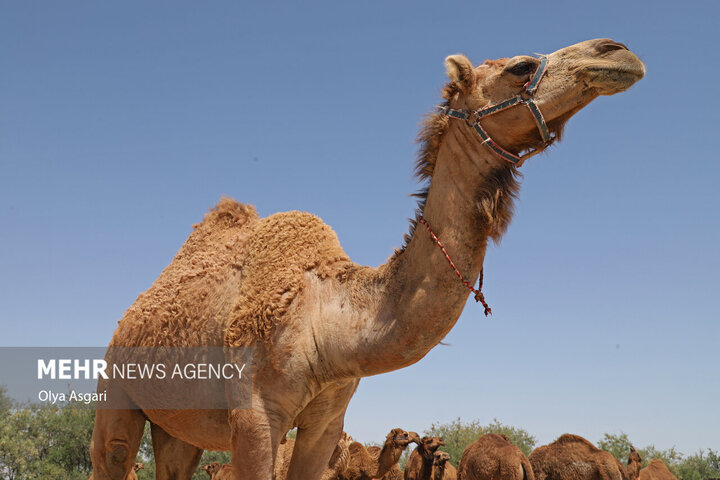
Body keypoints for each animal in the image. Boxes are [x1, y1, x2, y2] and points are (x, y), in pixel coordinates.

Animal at [87, 38, 644, 480]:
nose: (617, 52)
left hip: (179, 425)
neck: (328, 314)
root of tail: (128, 319)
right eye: (522, 66)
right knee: (111, 453)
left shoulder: (326, 421)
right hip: (116, 390)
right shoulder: (254, 416)